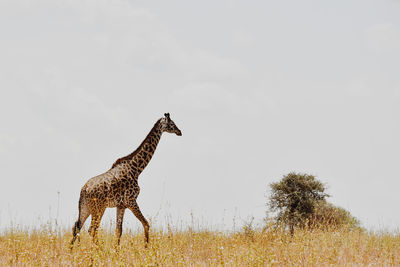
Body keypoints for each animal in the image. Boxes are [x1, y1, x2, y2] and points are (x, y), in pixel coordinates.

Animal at [70, 113, 181, 247]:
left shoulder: (121, 205)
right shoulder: (131, 201)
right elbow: (146, 223)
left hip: (86, 208)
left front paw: (117, 250)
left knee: (77, 227)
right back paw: (99, 249)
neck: (137, 169)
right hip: (99, 208)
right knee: (92, 230)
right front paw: (146, 248)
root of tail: (84, 190)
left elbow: (119, 231)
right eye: (172, 123)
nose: (180, 131)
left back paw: (71, 250)